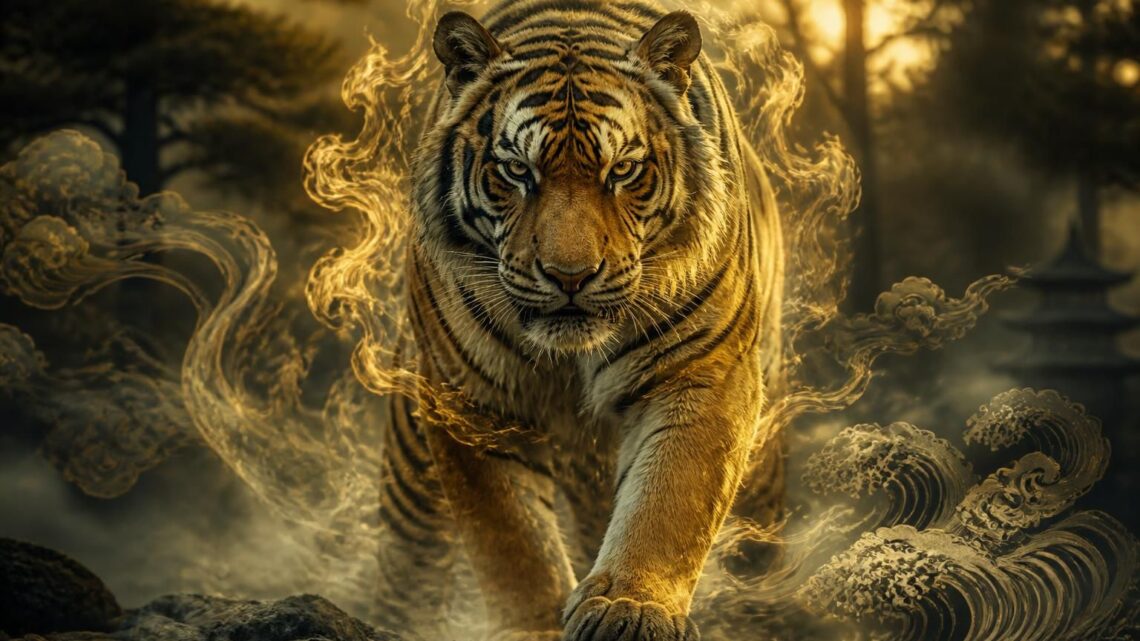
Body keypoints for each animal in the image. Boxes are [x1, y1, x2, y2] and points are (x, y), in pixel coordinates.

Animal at [375, 1, 785, 640]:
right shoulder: (470, 400)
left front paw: (630, 607)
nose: (570, 276)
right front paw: (536, 624)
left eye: (623, 171)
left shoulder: (702, 372)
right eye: (518, 171)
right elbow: (510, 539)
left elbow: (671, 497)